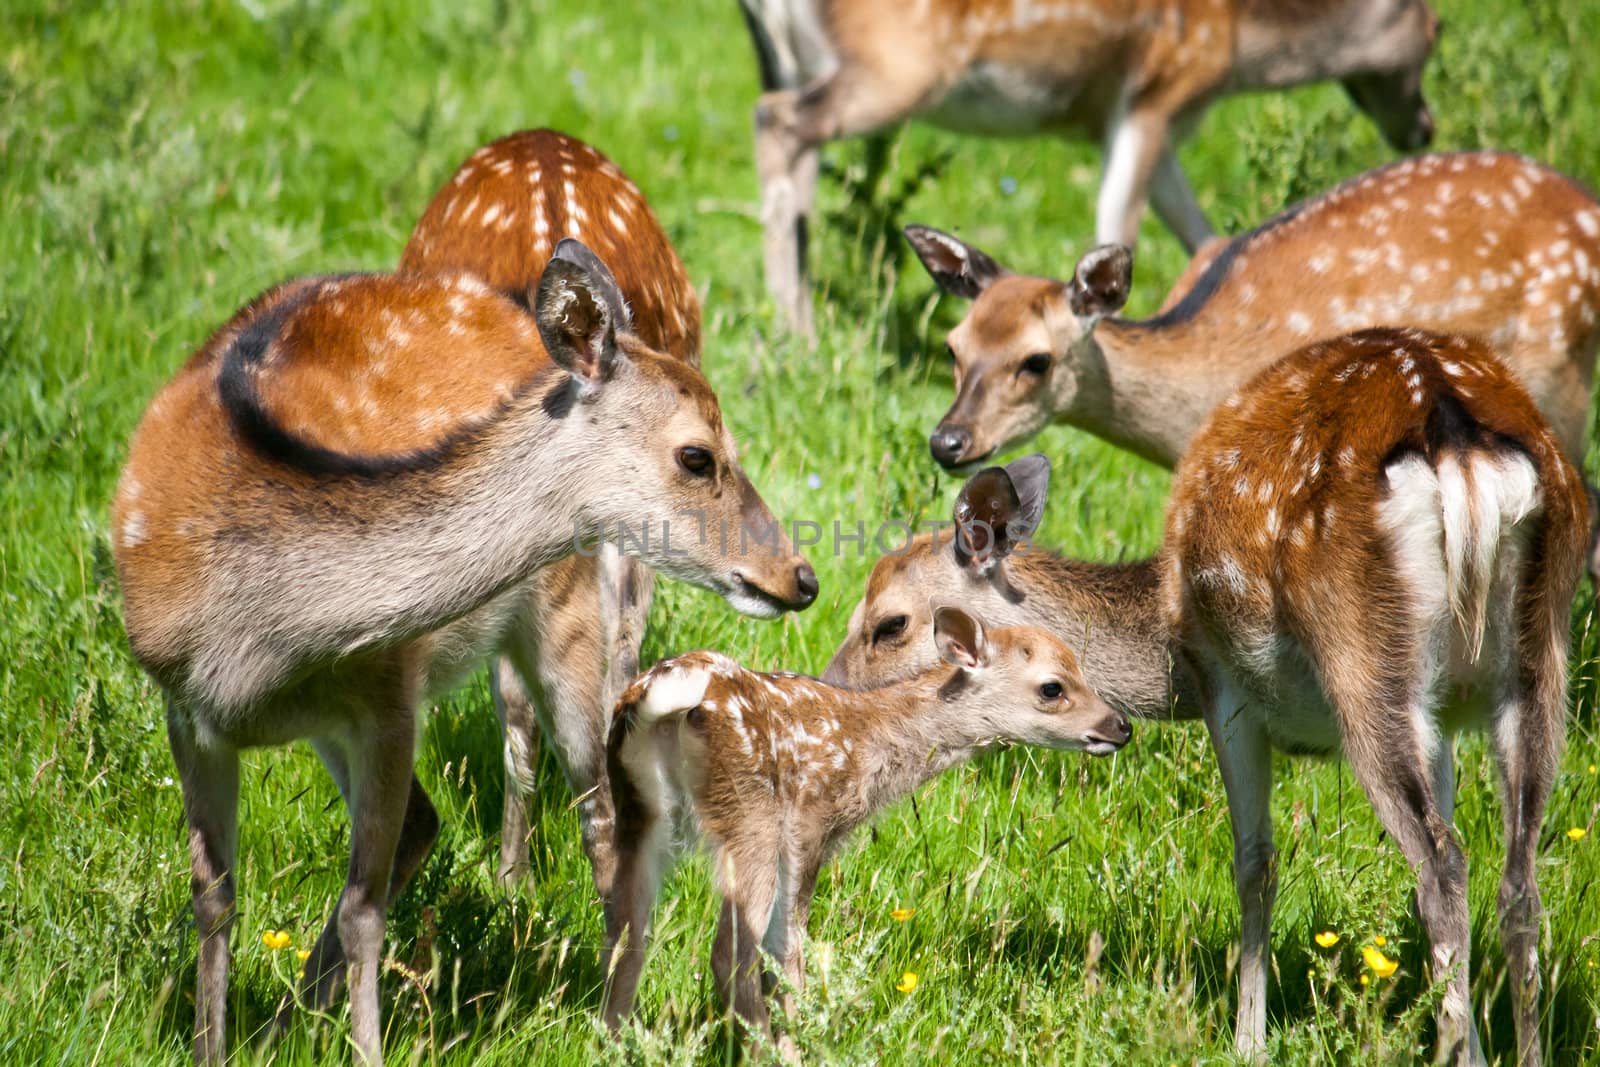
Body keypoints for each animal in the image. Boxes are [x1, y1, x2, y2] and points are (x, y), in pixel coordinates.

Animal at [114, 246, 819, 1062]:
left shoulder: (390, 693)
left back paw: (610, 1020)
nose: (801, 576)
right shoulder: (184, 705)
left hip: (568, 607)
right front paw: (216, 1045)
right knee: (431, 822)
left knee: (599, 820)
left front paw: (365, 1048)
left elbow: (362, 910)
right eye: (698, 455)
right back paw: (279, 1028)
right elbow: (215, 896)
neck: (255, 640)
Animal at [601, 607, 1139, 1049]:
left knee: (625, 936)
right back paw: (764, 1052)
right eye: (1053, 687)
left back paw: (616, 1042)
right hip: (752, 816)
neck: (868, 741)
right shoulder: (809, 830)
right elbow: (786, 954)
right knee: (729, 957)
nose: (1121, 727)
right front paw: (796, 1042)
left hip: (637, 808)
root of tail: (665, 693)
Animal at [742, 0, 1446, 331]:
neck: (1238, 44)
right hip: (898, 62)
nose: (1424, 125)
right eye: (1437, 30)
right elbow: (1118, 220)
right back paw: (796, 329)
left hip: (794, 59)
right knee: (779, 122)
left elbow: (1196, 227)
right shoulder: (1156, 90)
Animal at [838, 329, 1587, 1062]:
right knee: (1518, 882)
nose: (833, 689)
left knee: (1443, 864)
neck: (1164, 639)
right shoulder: (1441, 723)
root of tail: (1454, 436)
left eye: (890, 623)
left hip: (1365, 657)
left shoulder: (1225, 690)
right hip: (1539, 657)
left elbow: (1255, 863)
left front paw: (1247, 1041)